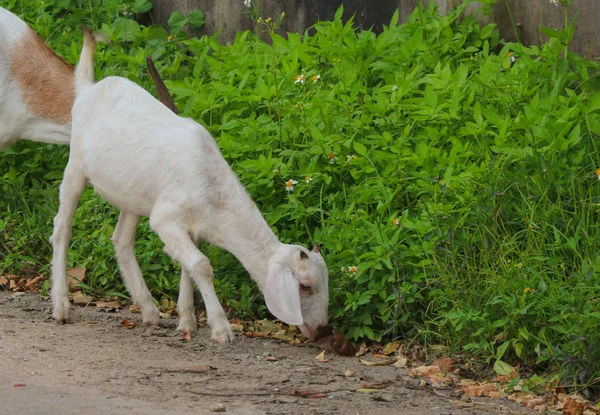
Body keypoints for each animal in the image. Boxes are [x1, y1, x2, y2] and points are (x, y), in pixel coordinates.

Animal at [52, 31, 330, 344]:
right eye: (305, 286)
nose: (322, 329)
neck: (214, 189)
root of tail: (87, 88)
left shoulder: (192, 227)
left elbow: (188, 266)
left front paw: (187, 321)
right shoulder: (166, 219)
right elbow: (202, 265)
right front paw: (220, 328)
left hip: (133, 196)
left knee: (121, 240)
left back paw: (149, 310)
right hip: (76, 165)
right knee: (62, 227)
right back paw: (61, 306)